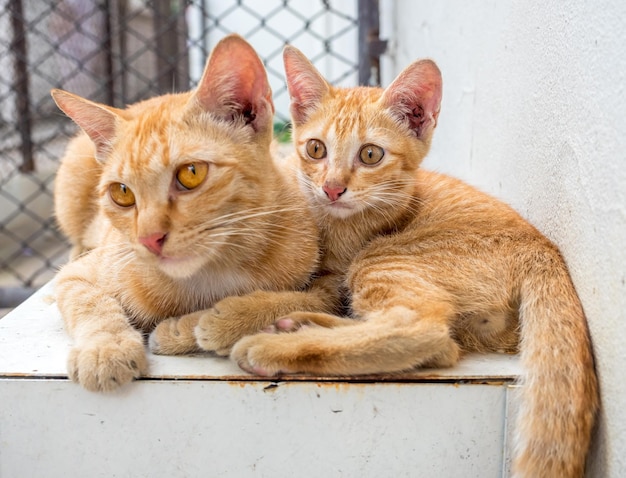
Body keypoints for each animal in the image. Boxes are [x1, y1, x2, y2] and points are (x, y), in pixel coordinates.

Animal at [50, 34, 320, 392]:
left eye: (191, 173)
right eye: (122, 193)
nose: (149, 239)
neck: (211, 274)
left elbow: (295, 301)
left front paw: (206, 322)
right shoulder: (75, 276)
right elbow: (90, 302)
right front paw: (106, 347)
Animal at [224, 45, 596, 478]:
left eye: (371, 154)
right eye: (316, 148)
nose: (332, 188)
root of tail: (544, 248)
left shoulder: (343, 266)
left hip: (383, 258)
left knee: (423, 330)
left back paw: (276, 345)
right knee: (440, 343)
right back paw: (299, 325)